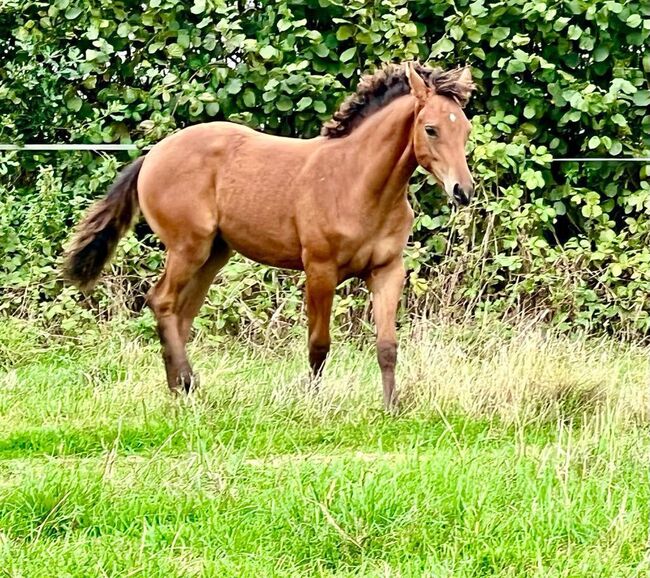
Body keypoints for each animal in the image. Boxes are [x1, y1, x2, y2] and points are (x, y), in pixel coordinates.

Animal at [63, 60, 474, 408]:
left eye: (465, 129)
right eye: (431, 129)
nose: (463, 191)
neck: (359, 183)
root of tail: (152, 155)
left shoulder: (388, 270)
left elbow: (387, 344)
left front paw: (390, 408)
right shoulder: (320, 269)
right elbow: (319, 344)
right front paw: (313, 404)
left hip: (214, 254)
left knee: (181, 313)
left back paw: (181, 390)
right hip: (187, 247)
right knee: (161, 300)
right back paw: (188, 384)